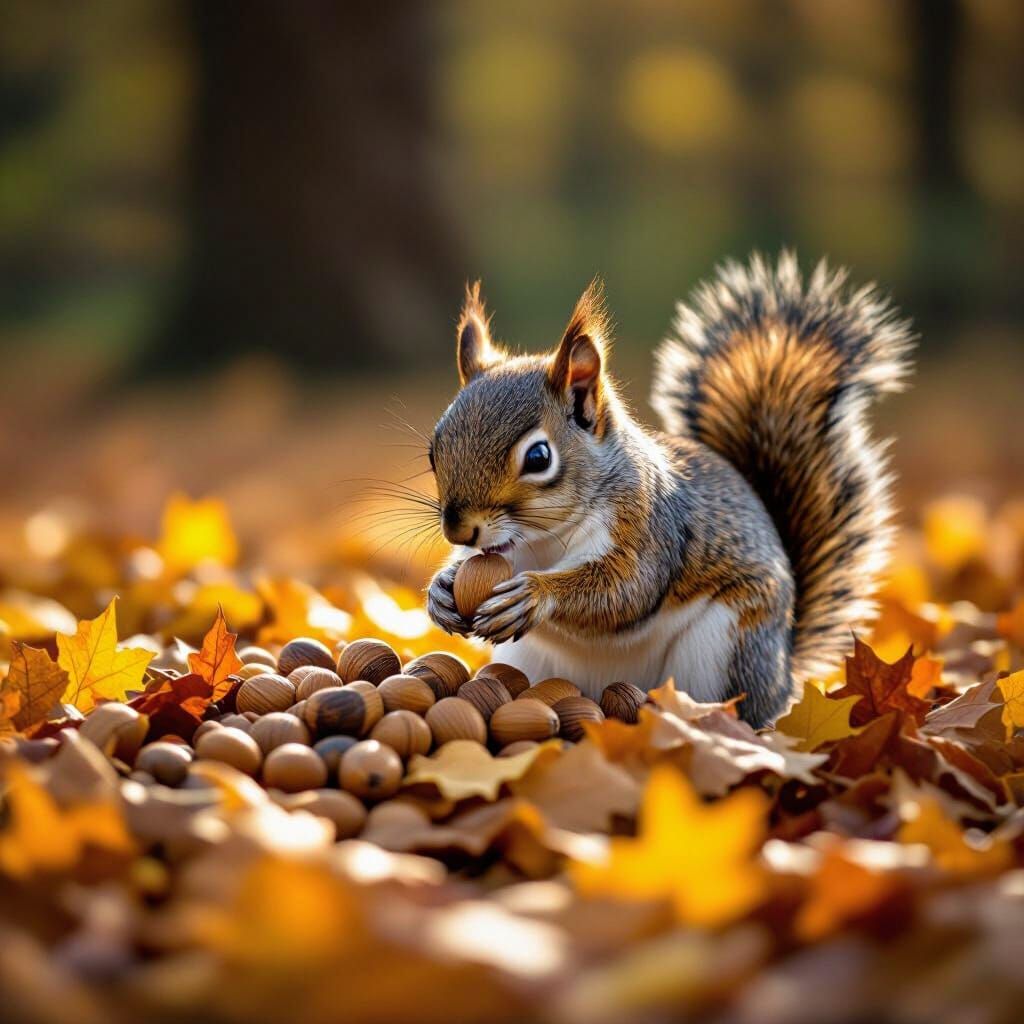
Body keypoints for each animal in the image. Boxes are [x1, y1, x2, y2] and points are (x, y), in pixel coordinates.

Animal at [424, 252, 913, 727]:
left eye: (539, 458)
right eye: (434, 448)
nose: (459, 530)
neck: (542, 539)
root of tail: (783, 676)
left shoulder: (648, 527)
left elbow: (623, 590)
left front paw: (536, 594)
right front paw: (441, 588)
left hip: (725, 647)